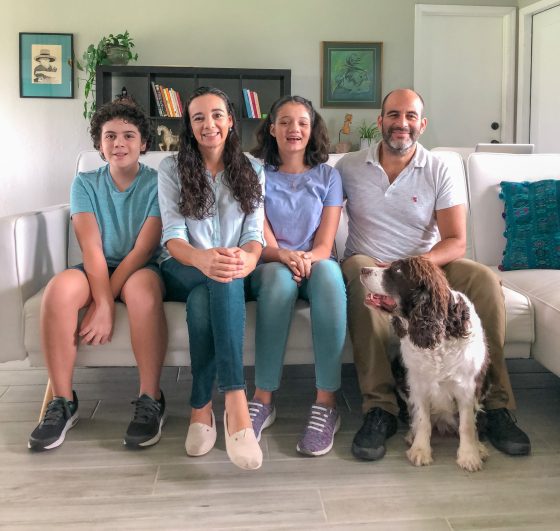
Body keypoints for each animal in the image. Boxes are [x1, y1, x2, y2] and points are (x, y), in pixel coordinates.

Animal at [360, 256, 489, 471]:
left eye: (397, 270)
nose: (362, 269)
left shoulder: (467, 387)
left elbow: (467, 424)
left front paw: (469, 455)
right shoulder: (417, 383)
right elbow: (422, 419)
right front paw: (420, 450)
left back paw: (479, 446)